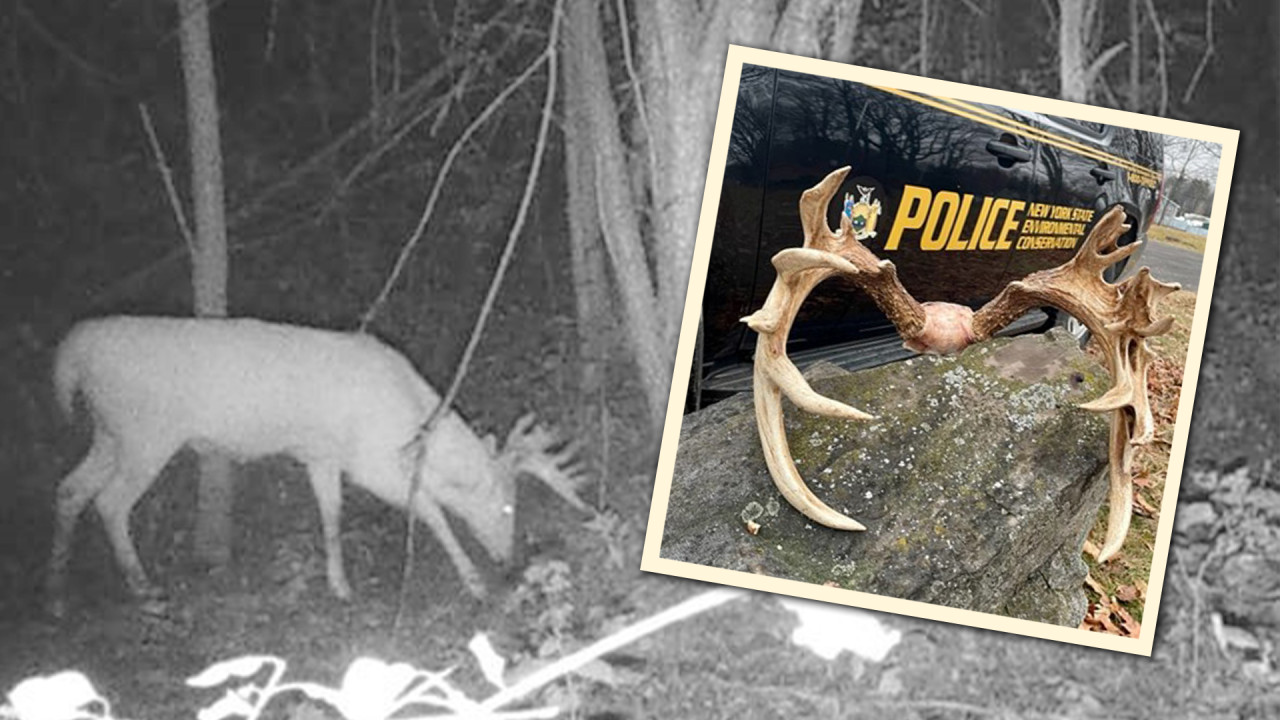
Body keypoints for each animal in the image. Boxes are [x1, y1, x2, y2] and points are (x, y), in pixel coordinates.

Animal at [45, 316, 590, 616]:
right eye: (506, 506)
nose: (509, 562)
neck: (410, 423)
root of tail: (73, 353)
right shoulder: (370, 460)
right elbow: (431, 510)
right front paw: (473, 584)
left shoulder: (322, 455)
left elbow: (331, 515)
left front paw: (340, 586)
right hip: (146, 432)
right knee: (109, 501)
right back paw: (144, 590)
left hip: (109, 432)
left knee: (69, 488)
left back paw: (57, 594)